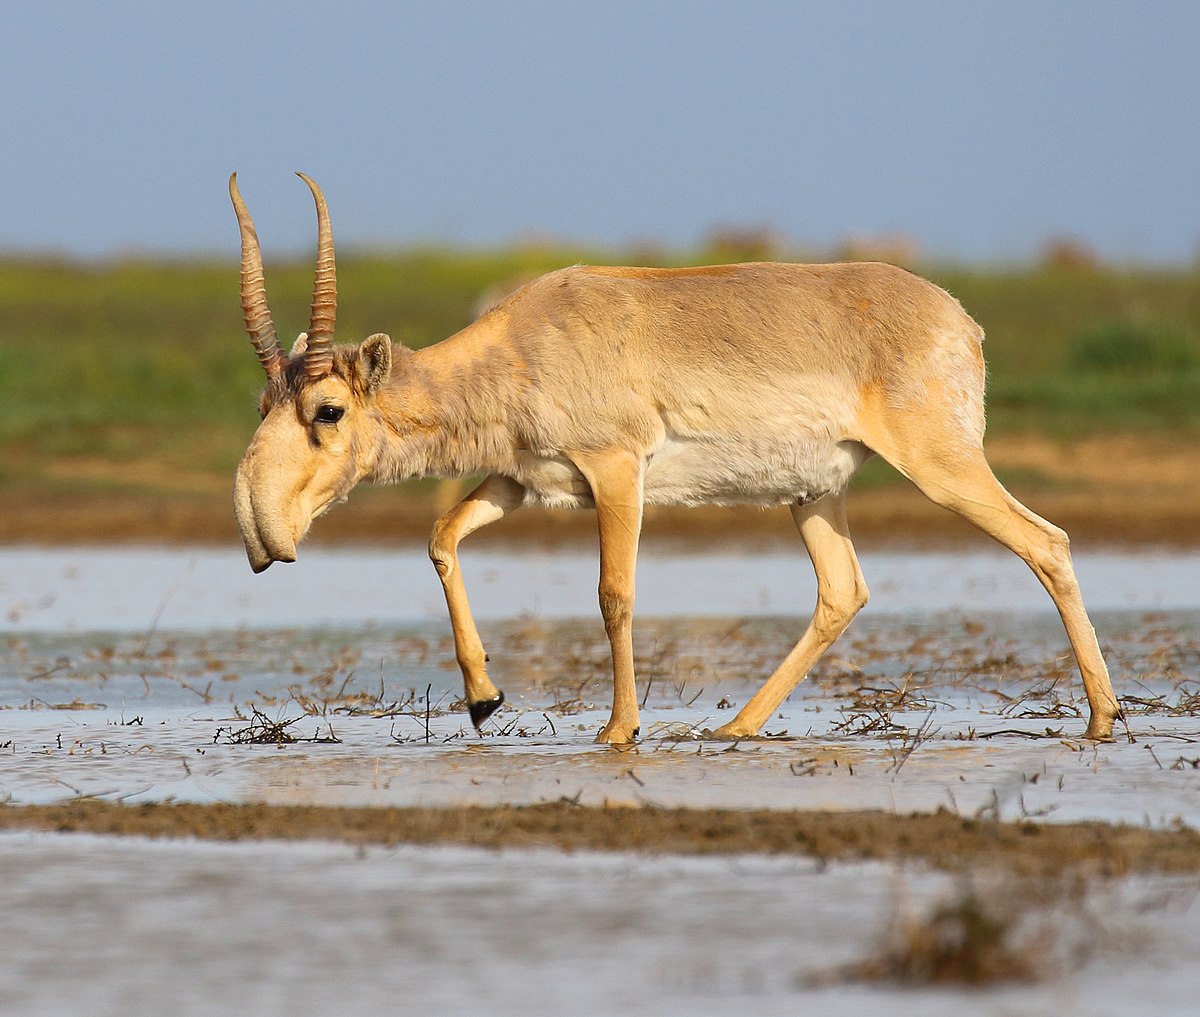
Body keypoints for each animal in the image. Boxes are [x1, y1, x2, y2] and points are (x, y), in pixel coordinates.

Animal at [230, 173, 1123, 745]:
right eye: (265, 402)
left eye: (327, 409)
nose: (259, 529)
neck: (523, 340)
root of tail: (960, 319)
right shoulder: (522, 481)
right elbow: (441, 537)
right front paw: (484, 699)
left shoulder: (616, 471)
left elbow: (614, 594)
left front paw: (618, 729)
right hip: (813, 494)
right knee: (843, 591)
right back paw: (736, 726)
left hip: (942, 467)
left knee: (1046, 542)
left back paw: (1103, 717)